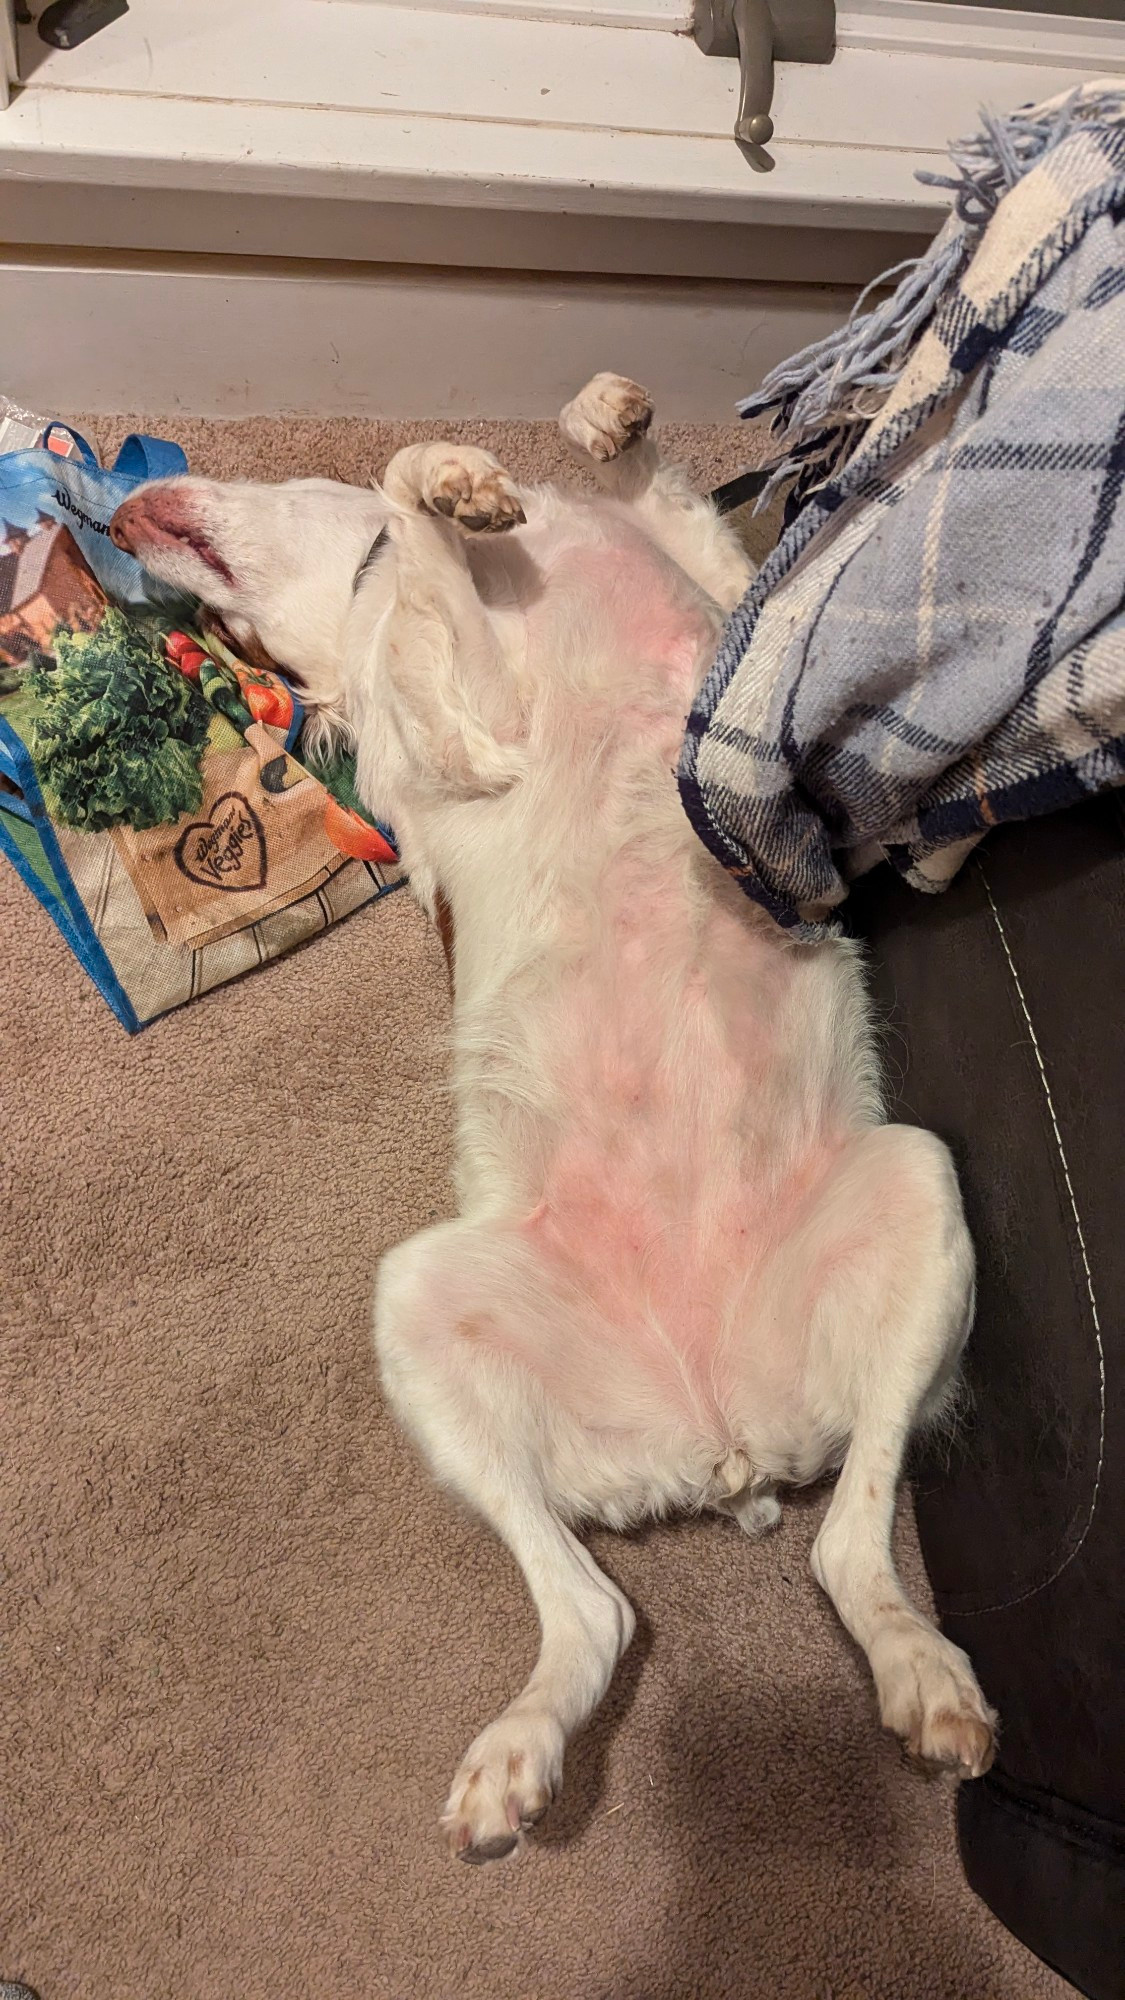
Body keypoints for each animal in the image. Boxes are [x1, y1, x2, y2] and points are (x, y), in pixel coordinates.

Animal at [109, 372, 992, 1856]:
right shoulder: (473, 727)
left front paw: (594, 426)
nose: (116, 509)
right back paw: (523, 1754)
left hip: (914, 1191)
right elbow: (412, 495)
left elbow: (659, 494)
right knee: (600, 1606)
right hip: (420, 1300)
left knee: (835, 1543)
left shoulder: (728, 624)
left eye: (218, 634)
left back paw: (912, 1667)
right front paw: (456, 483)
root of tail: (716, 1434)